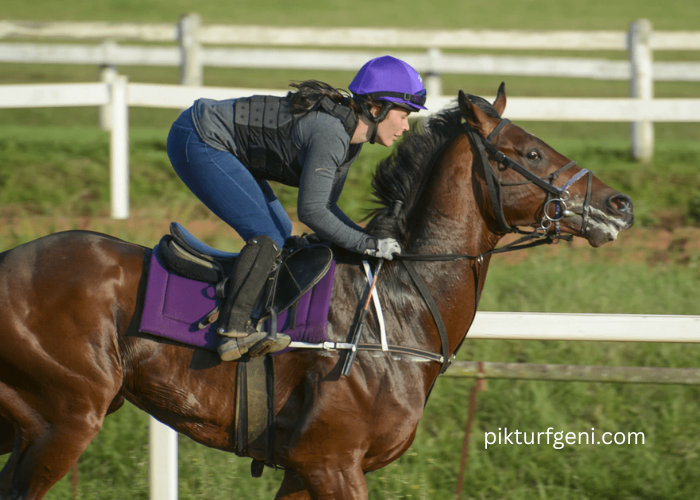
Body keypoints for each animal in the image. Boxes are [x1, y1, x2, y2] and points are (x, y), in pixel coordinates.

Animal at [0, 85, 634, 499]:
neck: (397, 312)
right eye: (532, 153)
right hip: (67, 418)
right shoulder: (330, 461)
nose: (619, 203)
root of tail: (9, 260)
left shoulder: (303, 469)